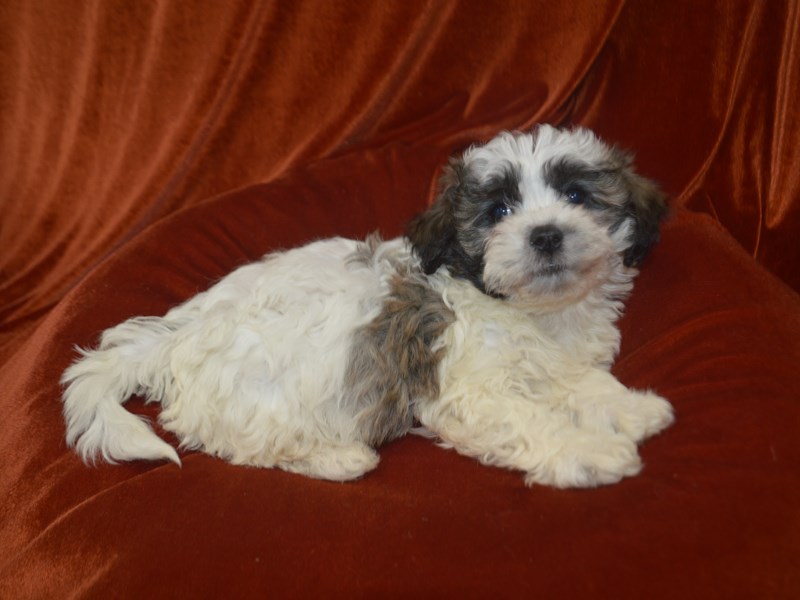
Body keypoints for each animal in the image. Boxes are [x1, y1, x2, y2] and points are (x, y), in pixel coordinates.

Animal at [64, 124, 676, 486]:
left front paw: (632, 408)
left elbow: (581, 383)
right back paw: (338, 458)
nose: (546, 235)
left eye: (576, 196)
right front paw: (593, 452)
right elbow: (530, 418)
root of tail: (172, 340)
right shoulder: (466, 388)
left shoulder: (557, 360)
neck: (535, 312)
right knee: (244, 441)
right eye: (499, 211)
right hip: (273, 385)